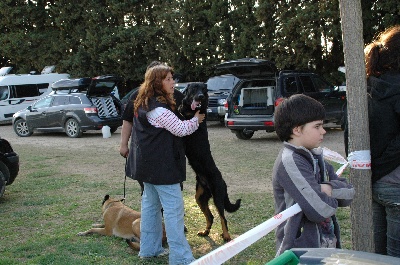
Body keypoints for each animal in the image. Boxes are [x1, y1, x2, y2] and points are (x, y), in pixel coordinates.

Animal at [180, 81, 242, 240]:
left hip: (217, 198)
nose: (201, 96)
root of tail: (223, 182)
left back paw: (226, 236)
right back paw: (206, 231)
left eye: (204, 89)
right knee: (211, 216)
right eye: (194, 88)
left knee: (222, 218)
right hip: (200, 197)